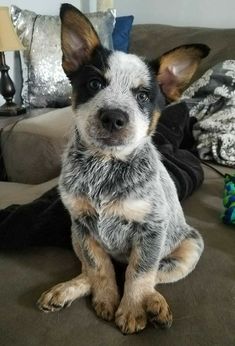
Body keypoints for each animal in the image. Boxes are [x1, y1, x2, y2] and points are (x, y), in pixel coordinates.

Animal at [37, 2, 210, 332]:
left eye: (143, 96)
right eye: (94, 83)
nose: (113, 117)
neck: (104, 166)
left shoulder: (151, 230)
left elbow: (139, 273)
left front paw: (131, 310)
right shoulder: (82, 226)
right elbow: (98, 268)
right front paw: (106, 298)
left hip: (190, 247)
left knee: (151, 275)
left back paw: (154, 304)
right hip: (73, 236)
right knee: (93, 270)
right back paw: (66, 290)